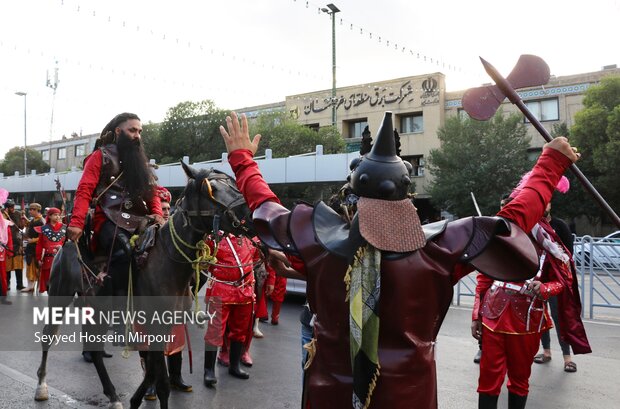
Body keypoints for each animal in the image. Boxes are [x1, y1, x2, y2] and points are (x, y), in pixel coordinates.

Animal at [34, 163, 254, 408]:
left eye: (234, 183)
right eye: (211, 189)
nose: (248, 215)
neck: (169, 261)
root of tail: (66, 244)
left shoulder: (165, 326)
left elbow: (151, 372)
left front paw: (134, 399)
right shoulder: (155, 326)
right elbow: (162, 383)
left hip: (98, 309)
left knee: (97, 351)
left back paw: (113, 395)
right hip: (60, 296)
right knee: (48, 336)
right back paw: (42, 386)